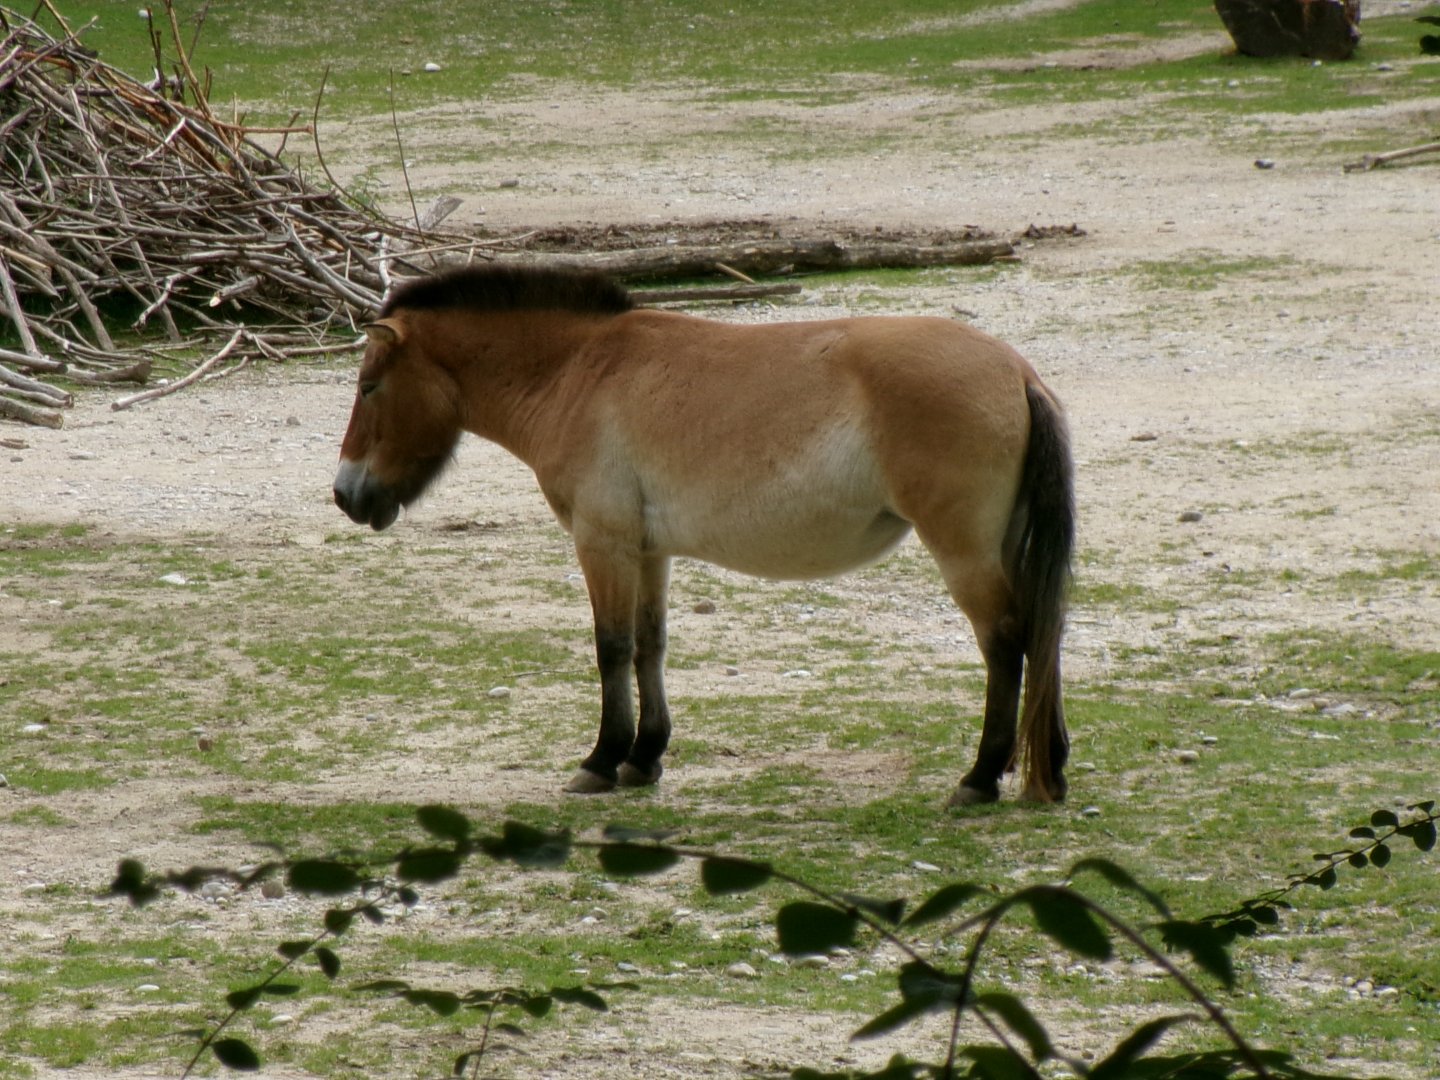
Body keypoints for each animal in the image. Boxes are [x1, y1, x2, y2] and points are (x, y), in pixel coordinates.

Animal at [333, 264, 1075, 807]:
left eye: (368, 387)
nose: (346, 495)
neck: (579, 371)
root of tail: (1019, 372)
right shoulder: (648, 551)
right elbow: (650, 647)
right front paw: (644, 758)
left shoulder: (602, 544)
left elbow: (611, 648)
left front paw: (602, 760)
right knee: (1043, 631)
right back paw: (1050, 765)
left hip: (964, 553)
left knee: (1005, 642)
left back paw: (980, 778)